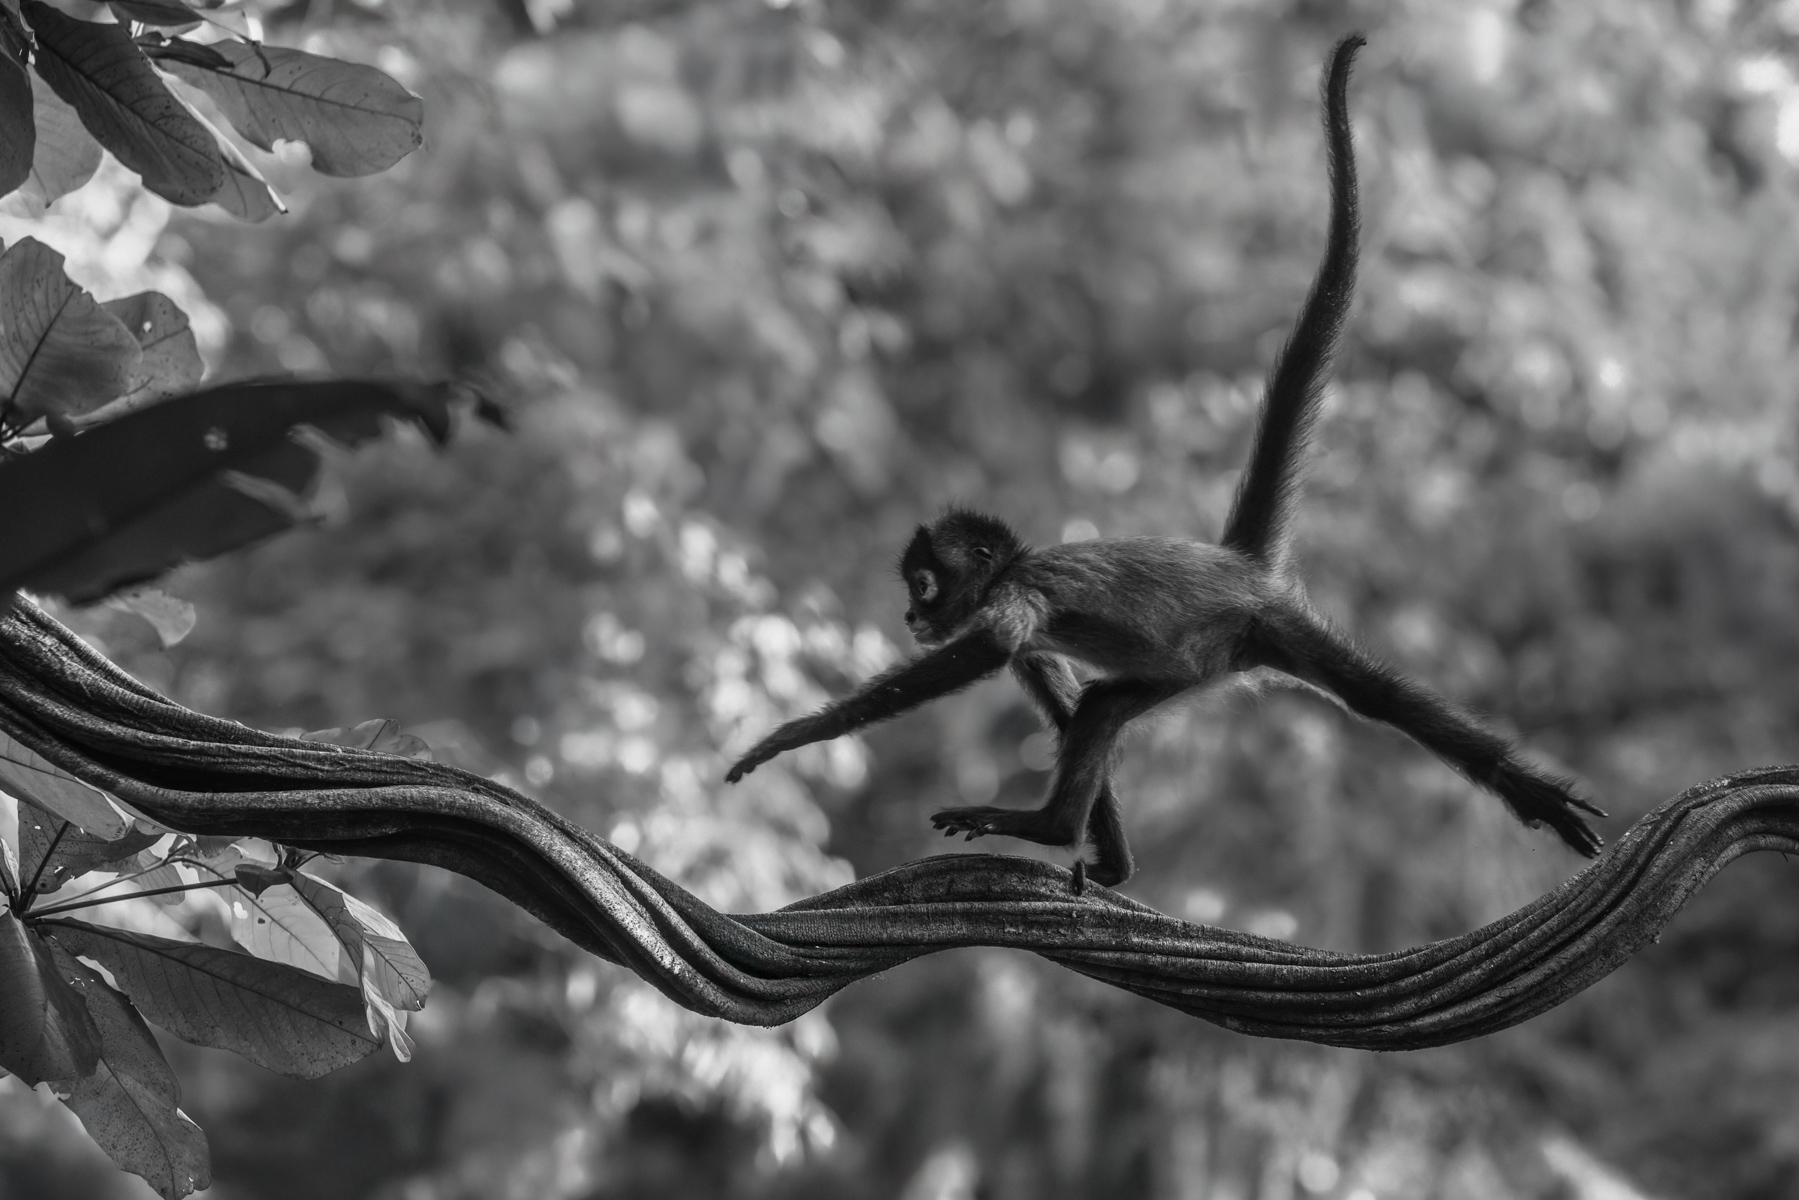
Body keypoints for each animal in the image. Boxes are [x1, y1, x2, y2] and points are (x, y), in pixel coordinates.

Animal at [724, 35, 1604, 889]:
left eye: (924, 583)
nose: (910, 617)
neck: (1016, 565)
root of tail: (1234, 566)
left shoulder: (1018, 597)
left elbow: (989, 650)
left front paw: (798, 733)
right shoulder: (1035, 636)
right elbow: (1057, 698)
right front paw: (1108, 851)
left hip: (1268, 625)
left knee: (1376, 697)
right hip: (1183, 667)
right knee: (1102, 707)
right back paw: (1072, 835)